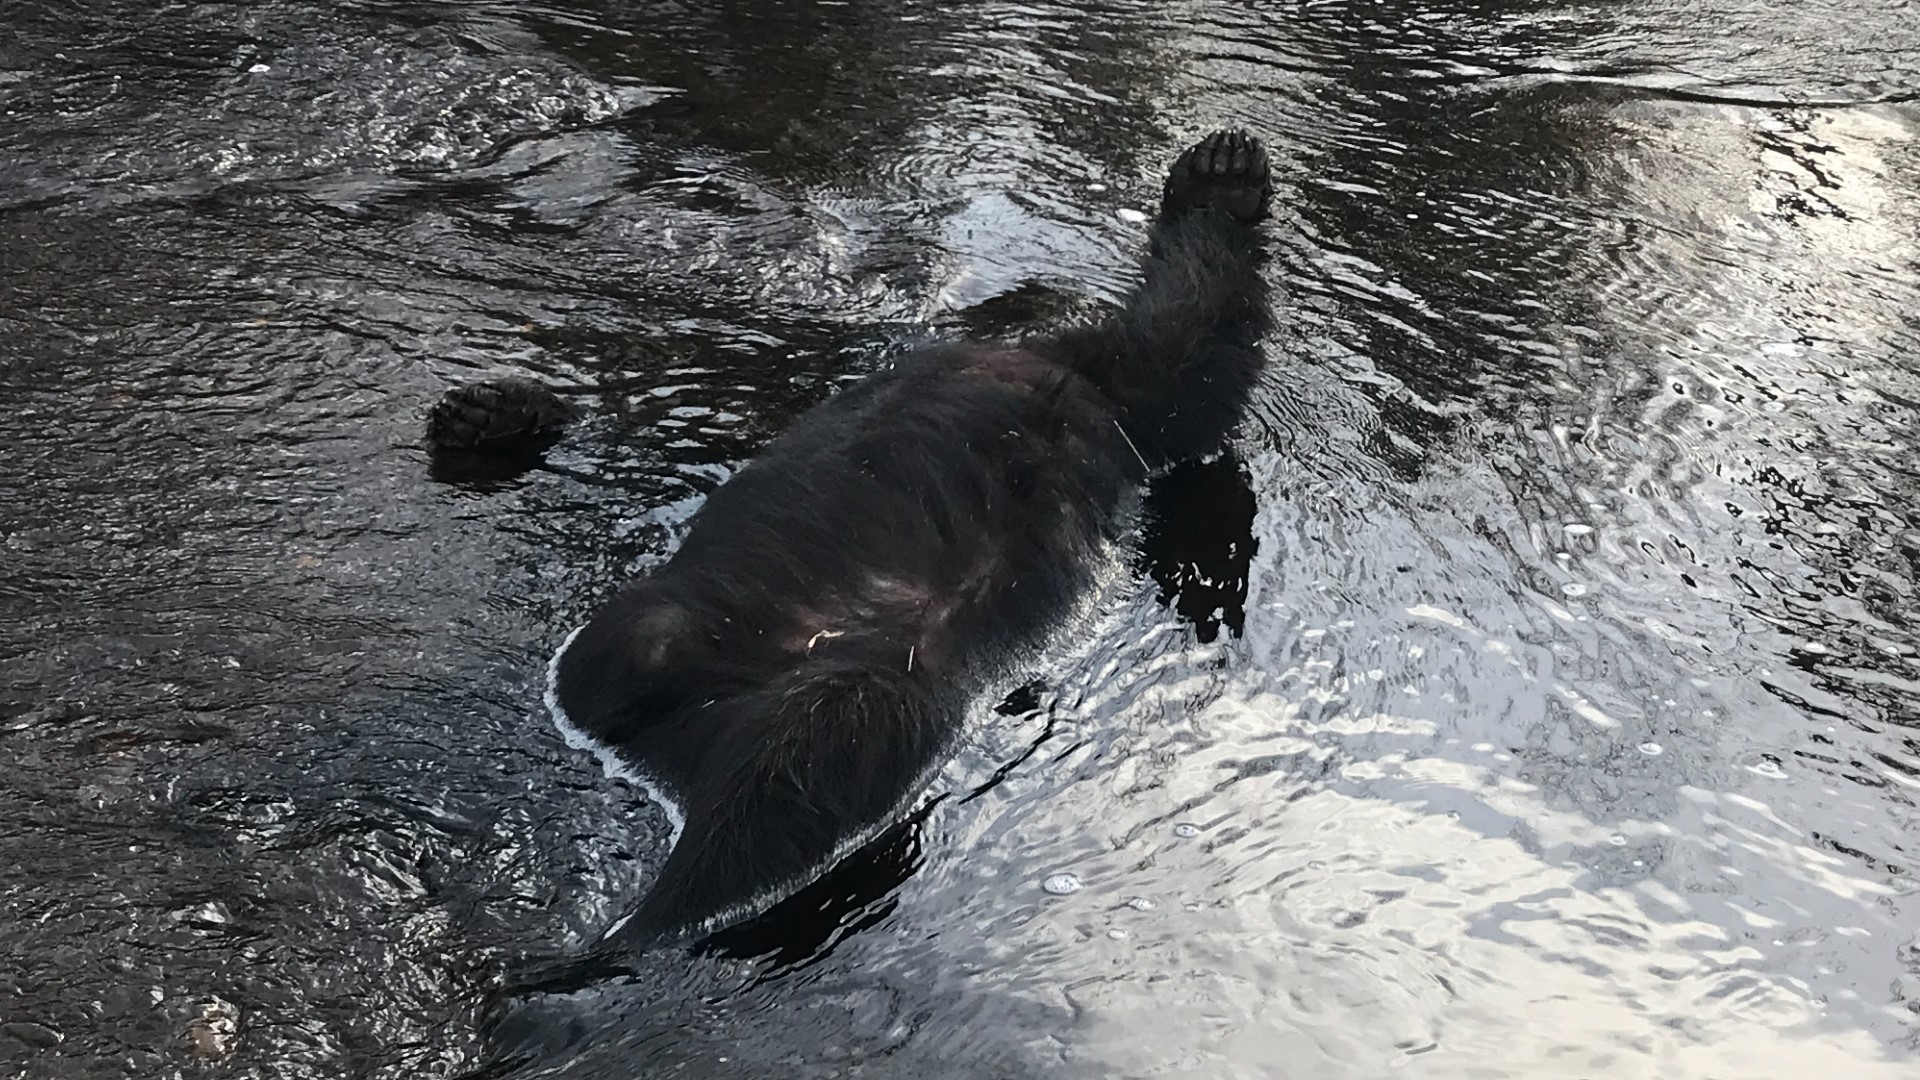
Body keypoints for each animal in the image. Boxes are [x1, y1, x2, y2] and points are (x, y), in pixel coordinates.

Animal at [431, 130, 1273, 962]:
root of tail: (664, 755)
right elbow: (1191, 341)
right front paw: (1223, 171)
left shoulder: (1125, 404)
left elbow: (1194, 350)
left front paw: (1221, 173)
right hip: (741, 659)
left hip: (839, 688)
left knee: (768, 774)